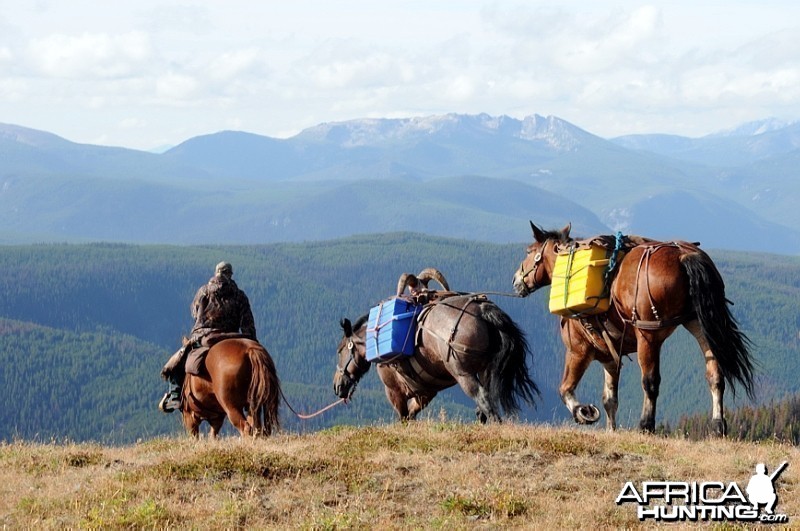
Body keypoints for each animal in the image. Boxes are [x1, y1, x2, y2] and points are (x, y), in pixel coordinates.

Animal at [332, 296, 536, 424]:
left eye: (340, 350)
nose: (337, 386)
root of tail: (482, 310)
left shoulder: (393, 391)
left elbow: (404, 417)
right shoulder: (426, 393)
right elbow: (412, 414)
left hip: (463, 374)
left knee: (483, 398)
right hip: (485, 370)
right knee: (486, 402)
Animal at [512, 222, 756, 434]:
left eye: (528, 251)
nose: (516, 280)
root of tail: (684, 254)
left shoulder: (578, 350)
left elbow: (565, 389)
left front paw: (583, 413)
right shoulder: (609, 357)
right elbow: (610, 399)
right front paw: (611, 430)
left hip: (648, 335)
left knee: (650, 382)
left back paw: (646, 425)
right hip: (698, 324)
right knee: (715, 375)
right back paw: (718, 425)